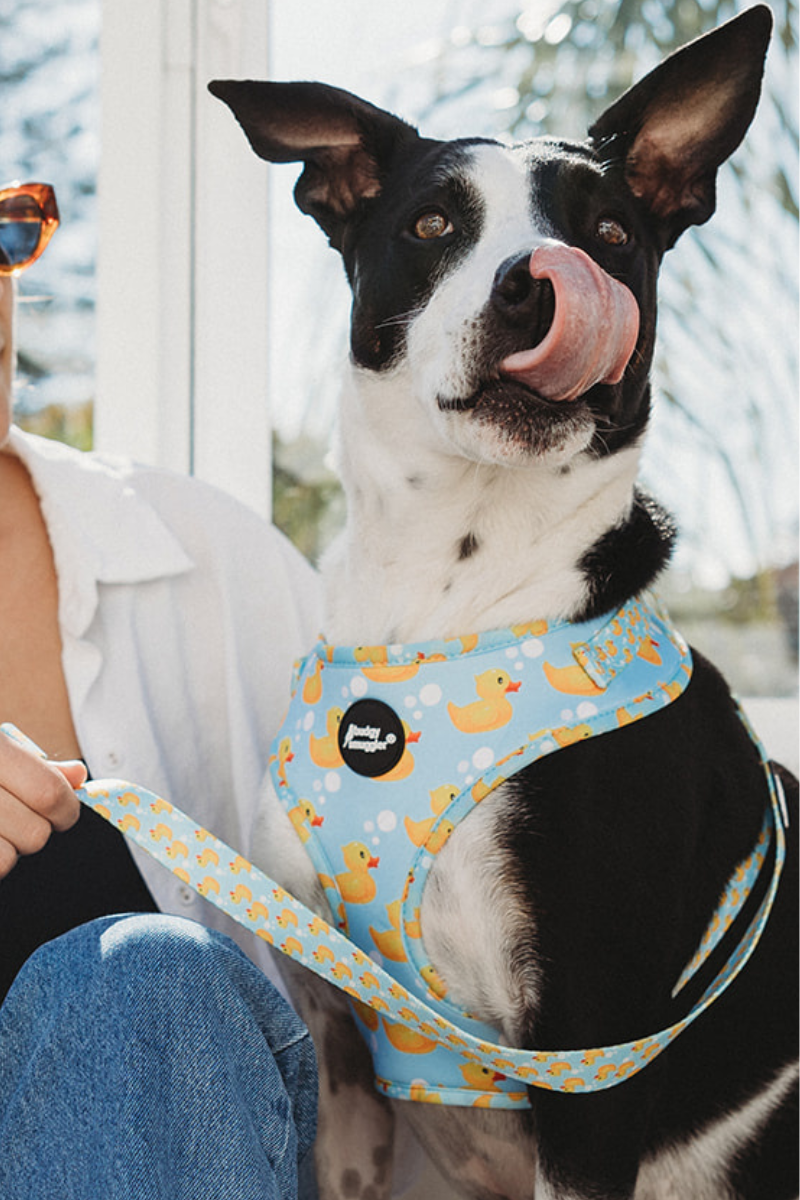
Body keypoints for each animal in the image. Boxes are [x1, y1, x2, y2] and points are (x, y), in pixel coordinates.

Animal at [209, 9, 796, 1200]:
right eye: (433, 222)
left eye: (611, 234)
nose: (543, 279)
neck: (452, 596)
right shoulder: (340, 1051)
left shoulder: (592, 1057)